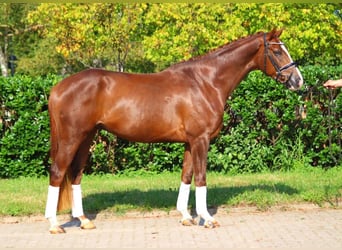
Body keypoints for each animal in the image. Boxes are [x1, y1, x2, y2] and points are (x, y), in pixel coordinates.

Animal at [44, 29, 302, 234]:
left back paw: (84, 220)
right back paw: (54, 225)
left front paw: (186, 217)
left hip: (86, 138)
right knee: (57, 172)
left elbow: (186, 176)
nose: (298, 80)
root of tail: (58, 88)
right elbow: (201, 177)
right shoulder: (201, 140)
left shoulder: (190, 142)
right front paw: (207, 218)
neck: (206, 82)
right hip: (71, 138)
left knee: (76, 174)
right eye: (277, 51)